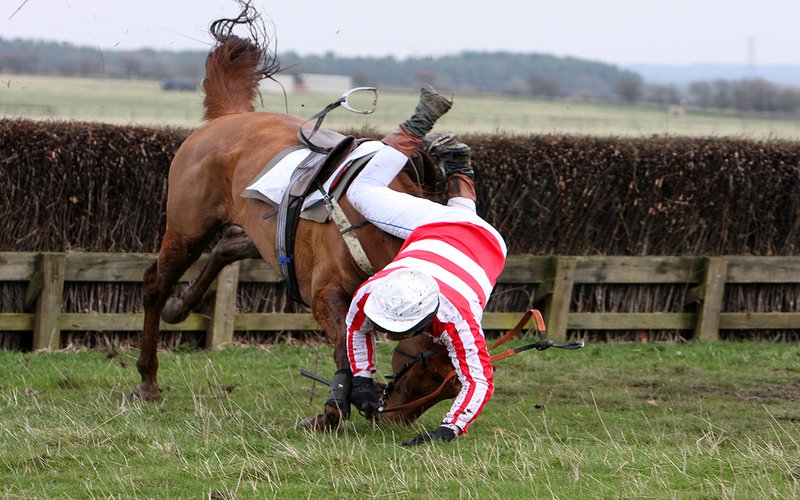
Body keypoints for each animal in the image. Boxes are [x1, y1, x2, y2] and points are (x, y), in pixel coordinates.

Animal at [135, 7, 460, 428]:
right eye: (430, 371)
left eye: (453, 385)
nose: (392, 420)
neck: (377, 226)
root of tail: (231, 115)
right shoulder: (326, 294)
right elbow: (343, 349)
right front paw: (332, 412)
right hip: (189, 227)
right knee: (156, 283)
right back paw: (148, 378)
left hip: (265, 236)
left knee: (228, 247)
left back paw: (182, 305)